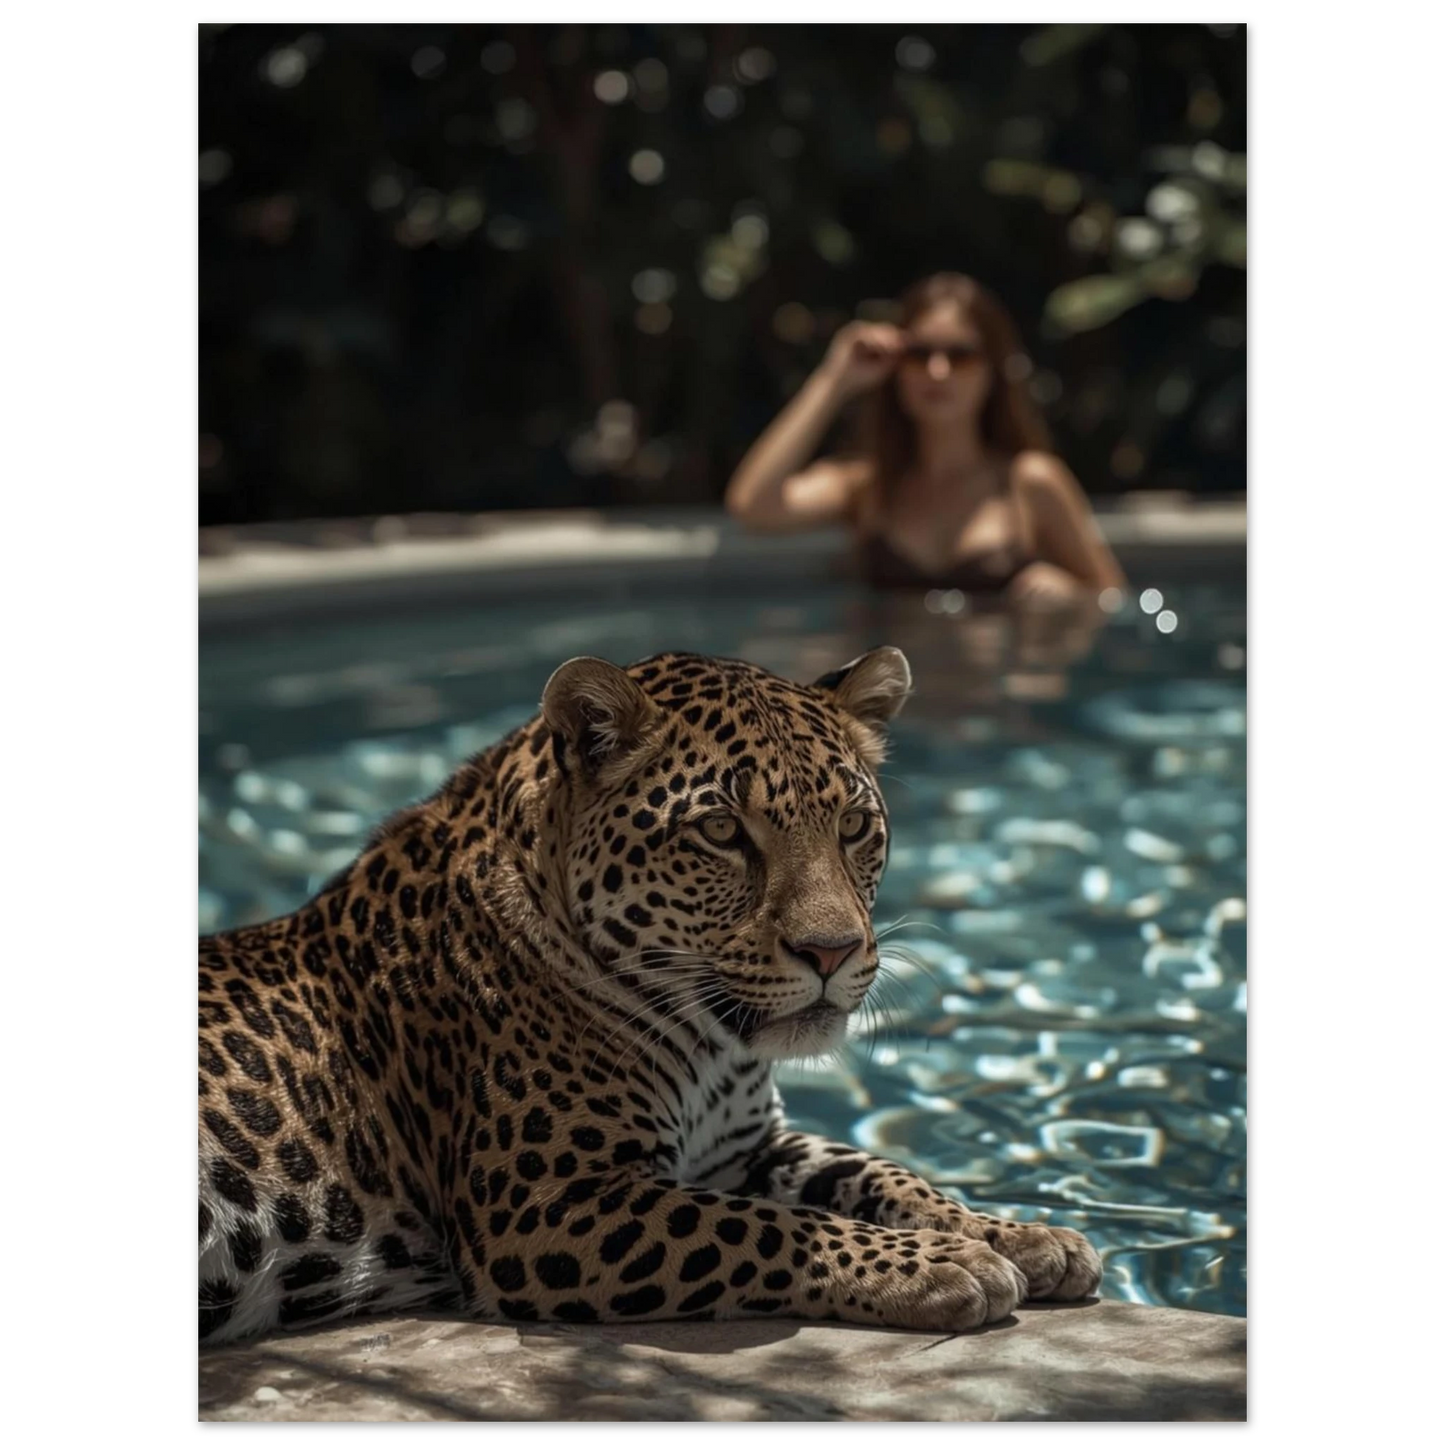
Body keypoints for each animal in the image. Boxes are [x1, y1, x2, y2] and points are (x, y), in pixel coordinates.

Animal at [197, 645, 1101, 1346]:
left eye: (852, 824)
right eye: (721, 831)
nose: (832, 949)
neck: (711, 1043)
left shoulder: (744, 1148)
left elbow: (877, 1170)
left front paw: (1018, 1234)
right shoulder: (544, 1205)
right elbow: (763, 1226)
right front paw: (946, 1265)